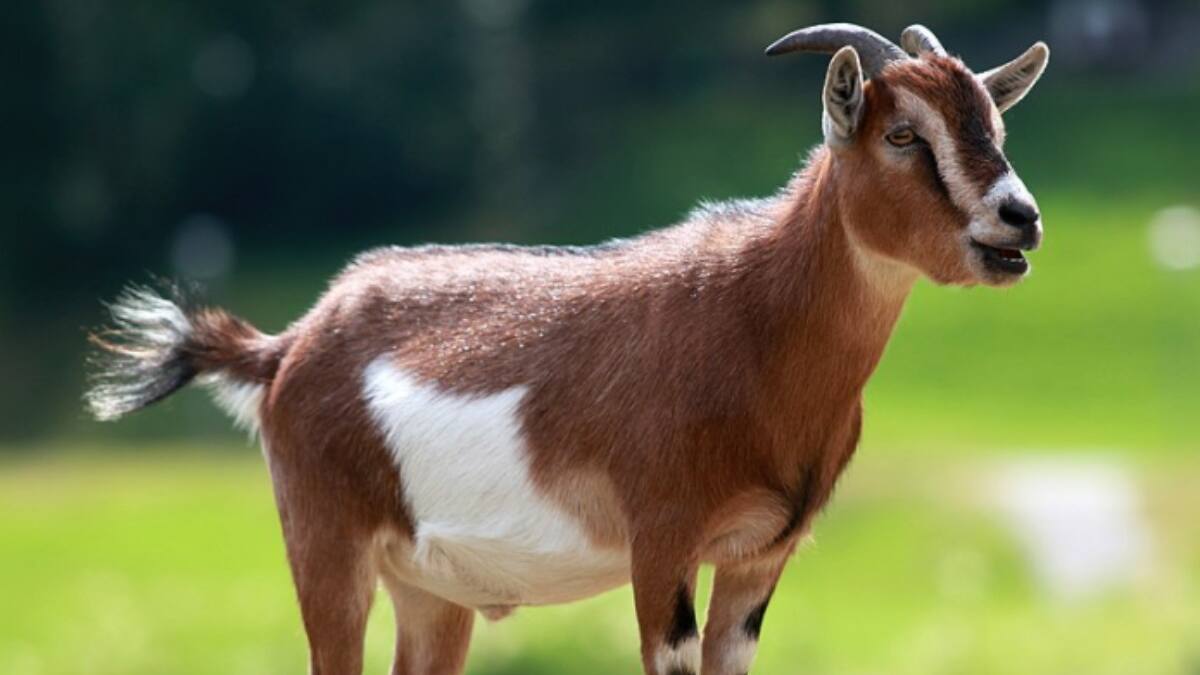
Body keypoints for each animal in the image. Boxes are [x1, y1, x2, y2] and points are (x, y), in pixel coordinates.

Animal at [86, 23, 1049, 675]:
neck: (752, 322)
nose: (1020, 218)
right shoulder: (662, 543)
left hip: (429, 589)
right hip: (327, 545)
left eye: (993, 127)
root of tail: (287, 345)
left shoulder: (758, 557)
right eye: (901, 134)